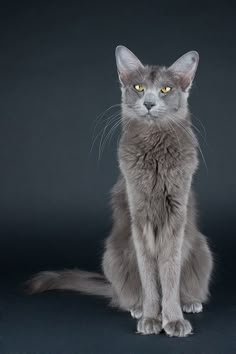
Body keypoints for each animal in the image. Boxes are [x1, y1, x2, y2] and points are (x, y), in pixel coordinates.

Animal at [26, 46, 213, 338]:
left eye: (165, 89)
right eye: (138, 87)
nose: (149, 103)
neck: (154, 151)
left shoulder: (175, 217)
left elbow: (169, 275)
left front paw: (173, 319)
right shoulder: (140, 216)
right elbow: (149, 277)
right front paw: (151, 317)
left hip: (202, 250)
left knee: (188, 286)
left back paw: (190, 303)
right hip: (112, 254)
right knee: (126, 295)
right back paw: (136, 307)